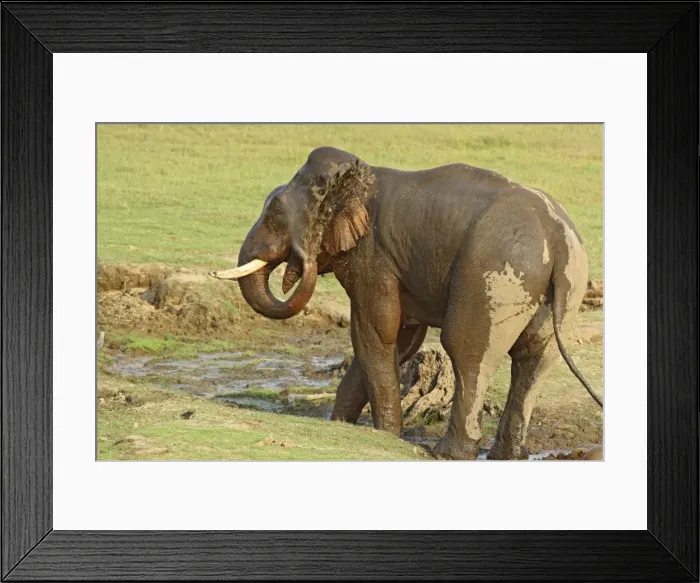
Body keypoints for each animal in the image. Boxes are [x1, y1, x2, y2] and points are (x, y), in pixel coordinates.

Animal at [210, 146, 602, 460]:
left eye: (276, 212)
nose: (298, 260)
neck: (357, 176)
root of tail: (556, 235)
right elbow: (400, 338)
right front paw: (342, 426)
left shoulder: (373, 256)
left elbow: (374, 332)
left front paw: (384, 436)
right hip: (564, 285)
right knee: (534, 359)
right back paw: (507, 456)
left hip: (492, 274)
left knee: (467, 350)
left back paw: (448, 453)